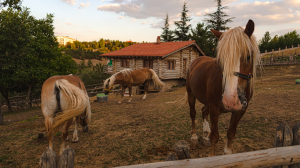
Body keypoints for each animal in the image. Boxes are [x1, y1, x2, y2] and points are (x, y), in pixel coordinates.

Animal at [188, 19, 260, 156]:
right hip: (191, 95)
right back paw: (194, 137)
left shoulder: (240, 110)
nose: (230, 100)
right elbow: (215, 137)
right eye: (221, 59)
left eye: (248, 56)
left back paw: (205, 134)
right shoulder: (214, 109)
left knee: (203, 111)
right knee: (193, 113)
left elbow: (231, 133)